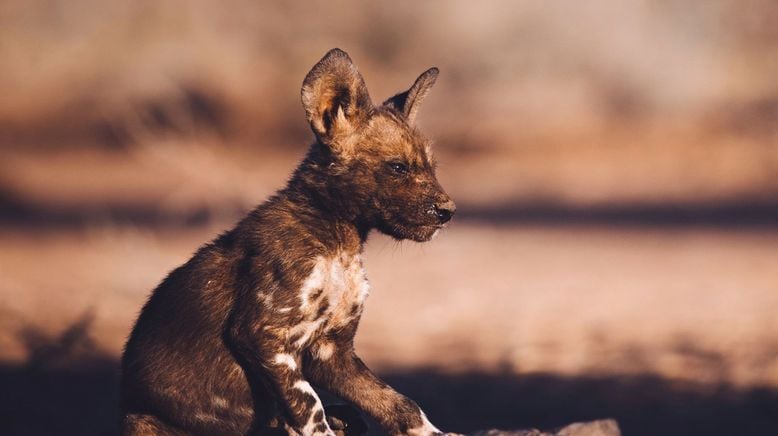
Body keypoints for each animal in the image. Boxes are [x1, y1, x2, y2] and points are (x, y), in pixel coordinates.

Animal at [120, 48, 454, 436]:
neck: (339, 242)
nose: (449, 211)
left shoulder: (332, 353)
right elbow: (311, 412)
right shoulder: (264, 336)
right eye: (398, 167)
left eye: (431, 168)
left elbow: (400, 404)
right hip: (141, 421)